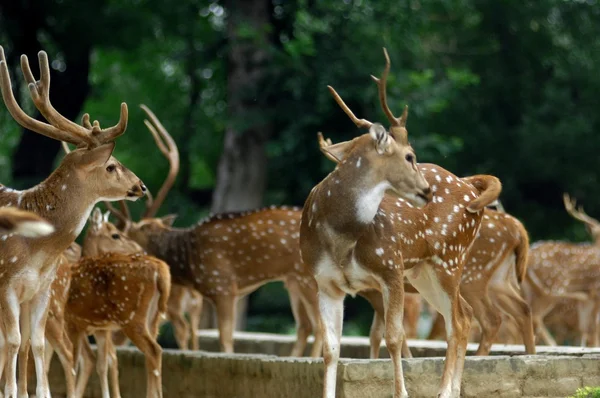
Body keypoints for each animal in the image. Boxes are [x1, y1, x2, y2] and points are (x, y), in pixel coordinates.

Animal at [0, 46, 145, 398]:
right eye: (111, 165)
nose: (141, 186)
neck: (37, 252)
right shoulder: (6, 282)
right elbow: (13, 342)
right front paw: (9, 391)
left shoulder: (41, 288)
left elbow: (35, 345)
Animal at [300, 49, 502, 398]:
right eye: (409, 156)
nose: (427, 190)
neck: (340, 240)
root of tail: (469, 186)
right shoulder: (324, 281)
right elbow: (330, 349)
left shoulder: (390, 267)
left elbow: (394, 338)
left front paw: (401, 392)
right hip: (423, 272)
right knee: (463, 315)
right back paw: (451, 389)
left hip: (450, 258)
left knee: (460, 321)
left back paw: (444, 391)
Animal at [524, 194, 600, 346]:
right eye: (597, 234)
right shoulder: (595, 292)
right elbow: (593, 328)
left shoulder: (588, 297)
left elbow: (586, 328)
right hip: (551, 288)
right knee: (535, 315)